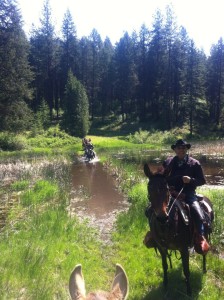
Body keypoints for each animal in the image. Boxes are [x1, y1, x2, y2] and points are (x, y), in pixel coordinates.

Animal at [144, 164, 214, 296]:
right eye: (149, 189)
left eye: (166, 188)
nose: (162, 217)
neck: (167, 225)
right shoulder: (161, 248)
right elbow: (165, 266)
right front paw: (165, 286)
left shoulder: (184, 249)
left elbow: (187, 270)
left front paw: (189, 292)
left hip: (206, 236)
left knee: (204, 253)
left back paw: (204, 268)